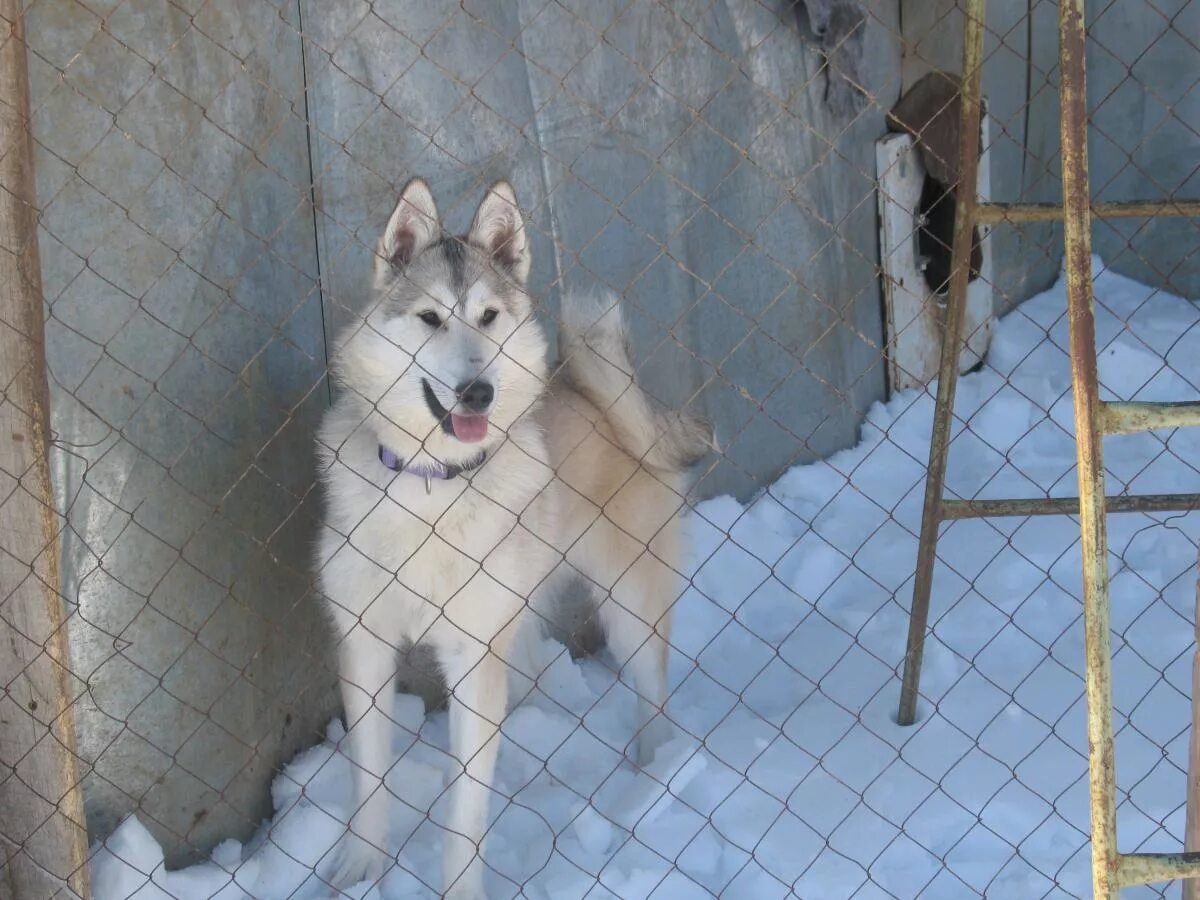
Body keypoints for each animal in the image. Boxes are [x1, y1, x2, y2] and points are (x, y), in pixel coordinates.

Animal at [319, 180, 710, 897]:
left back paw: (654, 777)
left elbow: (465, 810)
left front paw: (458, 888)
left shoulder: (473, 660)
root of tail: (594, 395)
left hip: (629, 605)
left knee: (653, 695)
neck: (432, 485)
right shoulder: (364, 645)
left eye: (489, 316)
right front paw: (361, 867)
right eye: (430, 318)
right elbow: (370, 780)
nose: (478, 391)